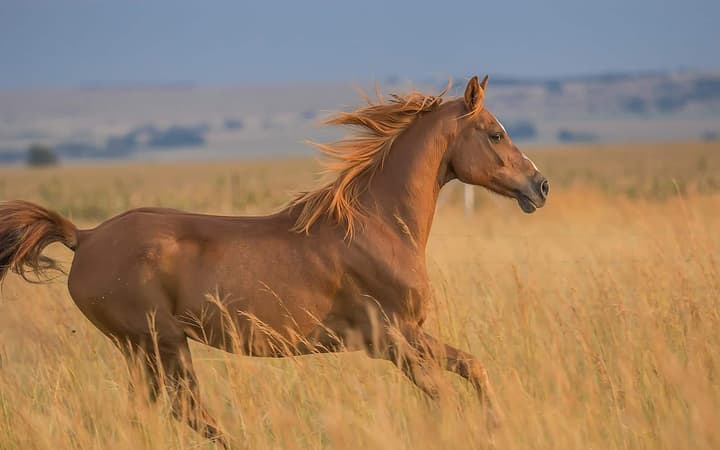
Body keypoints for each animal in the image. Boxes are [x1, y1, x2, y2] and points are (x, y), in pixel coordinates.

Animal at [0, 75, 548, 447]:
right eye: (495, 133)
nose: (539, 185)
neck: (378, 225)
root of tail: (85, 236)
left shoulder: (409, 335)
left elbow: (473, 367)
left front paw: (496, 426)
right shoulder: (392, 339)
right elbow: (445, 395)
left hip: (145, 350)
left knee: (154, 413)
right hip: (159, 344)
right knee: (189, 411)